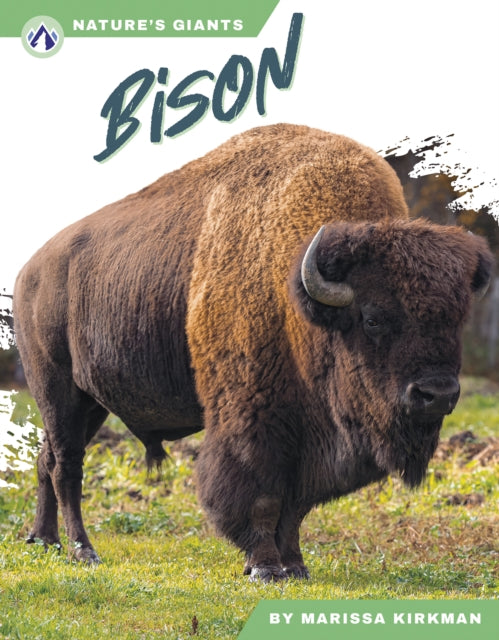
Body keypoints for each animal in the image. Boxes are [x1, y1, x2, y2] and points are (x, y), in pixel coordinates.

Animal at [13, 124, 493, 581]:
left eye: (456, 319)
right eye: (373, 318)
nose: (437, 395)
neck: (295, 296)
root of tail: (28, 271)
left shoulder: (307, 439)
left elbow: (296, 506)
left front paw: (295, 565)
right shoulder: (253, 421)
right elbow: (262, 496)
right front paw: (264, 568)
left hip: (91, 402)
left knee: (46, 459)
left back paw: (44, 540)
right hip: (57, 390)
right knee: (67, 467)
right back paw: (83, 550)